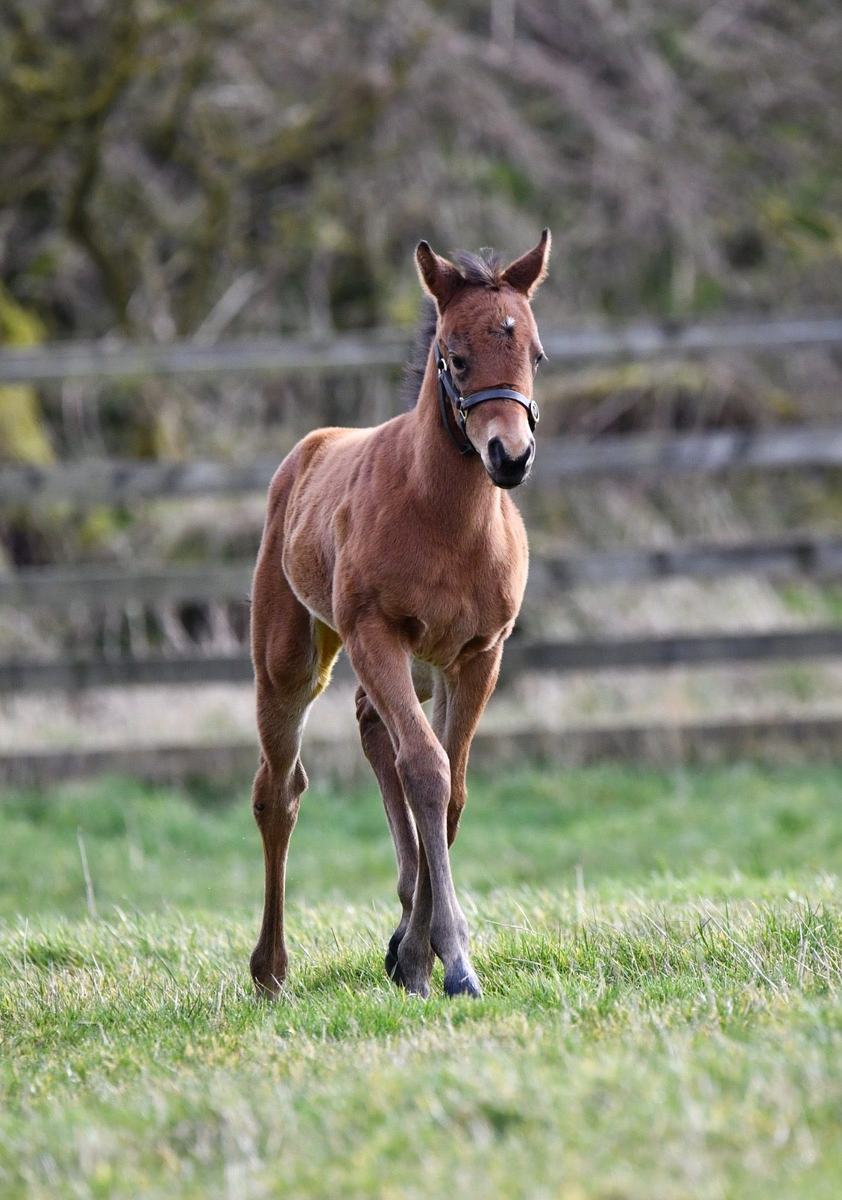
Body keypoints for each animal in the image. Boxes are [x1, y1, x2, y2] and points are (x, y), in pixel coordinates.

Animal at [249, 229, 551, 999]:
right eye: (455, 355)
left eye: (535, 354)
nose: (511, 457)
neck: (444, 519)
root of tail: (313, 446)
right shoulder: (374, 634)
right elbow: (426, 769)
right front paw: (444, 964)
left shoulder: (479, 653)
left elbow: (451, 791)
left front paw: (419, 951)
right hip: (291, 660)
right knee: (278, 790)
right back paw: (270, 969)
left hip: (422, 665)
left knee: (369, 727)